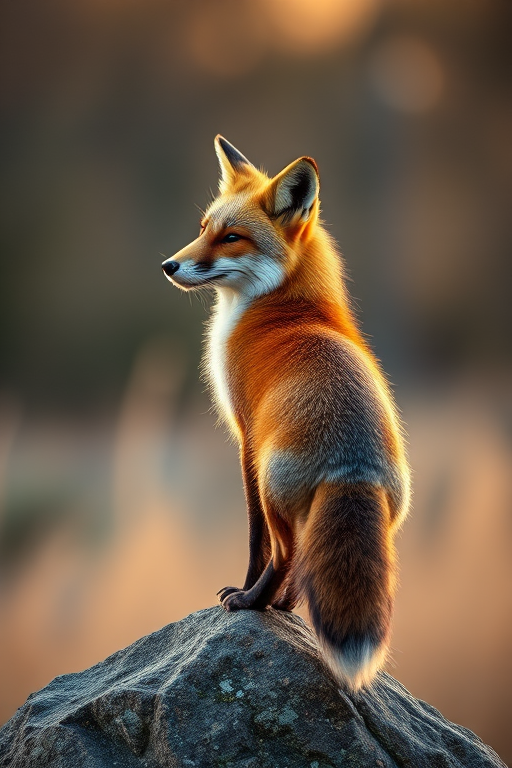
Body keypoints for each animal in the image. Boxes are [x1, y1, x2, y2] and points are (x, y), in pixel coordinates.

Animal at [162, 136, 410, 691]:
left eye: (232, 238)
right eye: (203, 228)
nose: (168, 265)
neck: (285, 304)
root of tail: (353, 464)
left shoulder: (245, 436)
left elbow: (253, 541)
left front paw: (245, 593)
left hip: (273, 487)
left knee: (283, 556)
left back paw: (254, 602)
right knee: (303, 570)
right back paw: (281, 607)